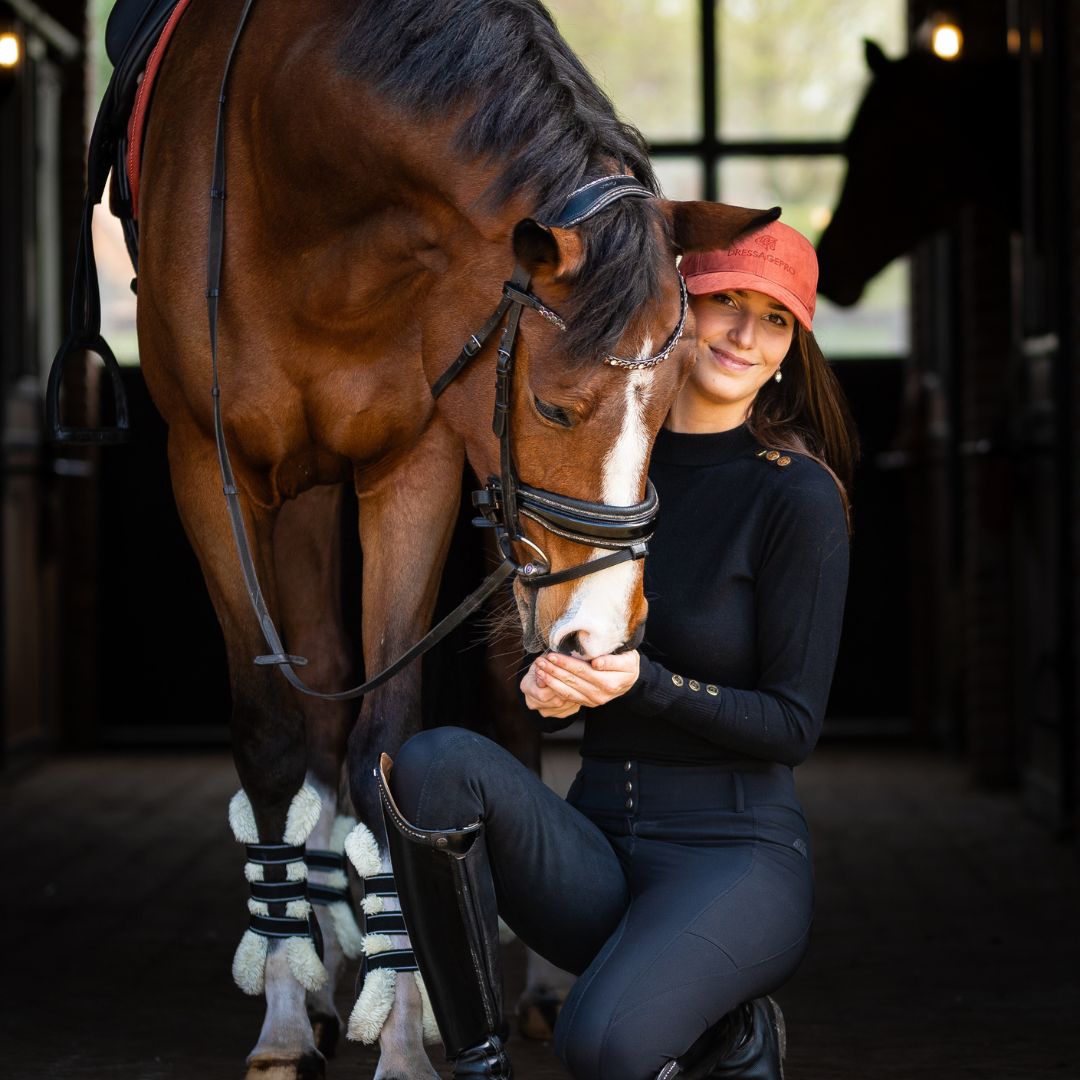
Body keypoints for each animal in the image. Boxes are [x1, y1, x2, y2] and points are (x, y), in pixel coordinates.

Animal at [135, 2, 773, 1080]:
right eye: (556, 405)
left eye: (673, 401)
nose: (606, 626)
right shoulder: (206, 467)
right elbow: (274, 739)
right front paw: (285, 1011)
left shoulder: (420, 456)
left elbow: (386, 743)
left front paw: (402, 1029)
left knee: (502, 714)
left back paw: (530, 983)